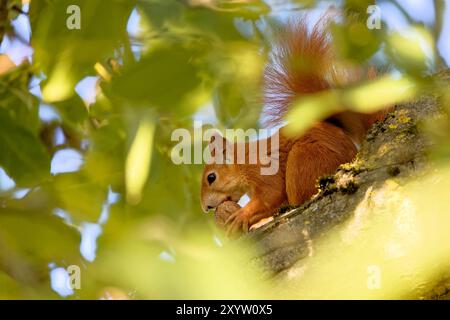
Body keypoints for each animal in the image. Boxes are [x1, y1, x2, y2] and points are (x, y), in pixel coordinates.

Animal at [200, 16, 390, 236]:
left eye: (211, 177)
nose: (206, 208)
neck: (244, 163)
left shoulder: (264, 169)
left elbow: (271, 195)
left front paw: (242, 215)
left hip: (305, 159)